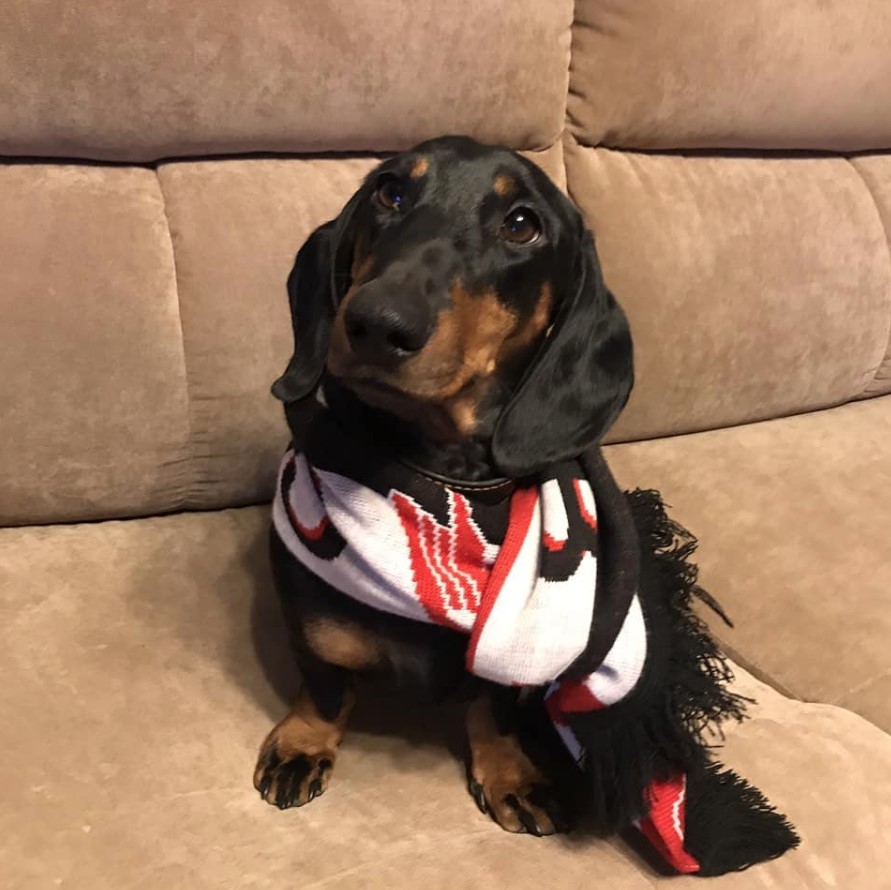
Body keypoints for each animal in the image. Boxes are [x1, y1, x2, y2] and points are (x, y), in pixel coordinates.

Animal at [253, 135, 636, 836]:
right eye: (390, 191)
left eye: (522, 224)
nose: (377, 323)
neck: (431, 472)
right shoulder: (308, 614)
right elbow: (325, 683)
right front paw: (303, 743)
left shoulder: (511, 667)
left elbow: (494, 704)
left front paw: (510, 771)